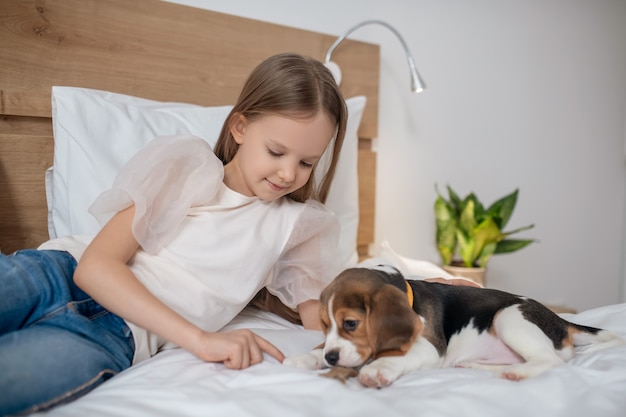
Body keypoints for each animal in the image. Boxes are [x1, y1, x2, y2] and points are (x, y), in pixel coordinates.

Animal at [284, 266, 624, 386]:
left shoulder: (430, 348)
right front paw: (307, 356)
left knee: (551, 361)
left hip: (509, 318)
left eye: (351, 324)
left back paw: (517, 373)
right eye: (324, 325)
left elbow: (399, 355)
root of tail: (560, 320)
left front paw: (379, 368)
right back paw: (480, 367)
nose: (330, 359)